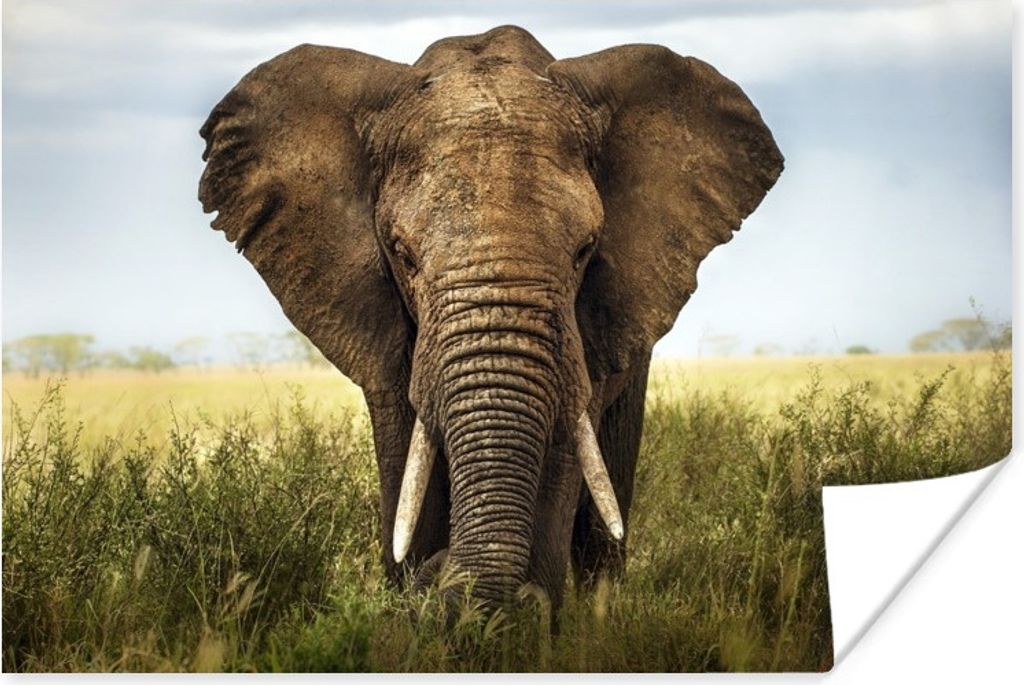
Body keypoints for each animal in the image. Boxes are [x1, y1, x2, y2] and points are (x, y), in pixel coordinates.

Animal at [198, 25, 782, 613]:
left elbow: (564, 451)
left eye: (585, 250)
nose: (441, 575)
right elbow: (406, 458)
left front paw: (524, 618)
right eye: (402, 254)